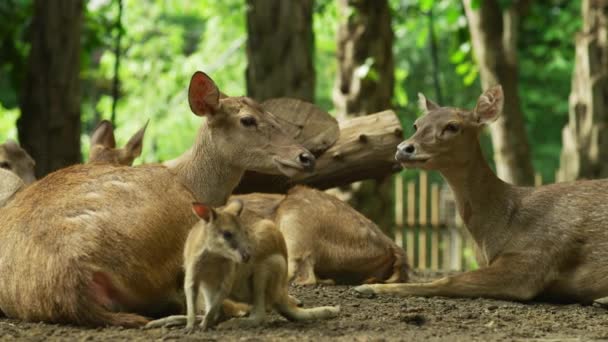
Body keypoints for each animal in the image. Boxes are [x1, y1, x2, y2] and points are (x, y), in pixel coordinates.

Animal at [145, 200, 340, 332]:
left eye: (245, 232)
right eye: (227, 234)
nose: (247, 257)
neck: (214, 257)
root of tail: (280, 293)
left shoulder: (228, 274)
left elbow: (223, 291)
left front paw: (202, 325)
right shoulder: (193, 270)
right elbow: (190, 291)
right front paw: (191, 326)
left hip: (269, 265)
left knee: (259, 314)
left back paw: (231, 324)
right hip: (209, 287)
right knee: (218, 311)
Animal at [354, 85, 608, 304]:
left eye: (453, 126)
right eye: (417, 125)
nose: (403, 149)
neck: (498, 227)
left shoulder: (535, 257)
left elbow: (448, 280)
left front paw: (369, 287)